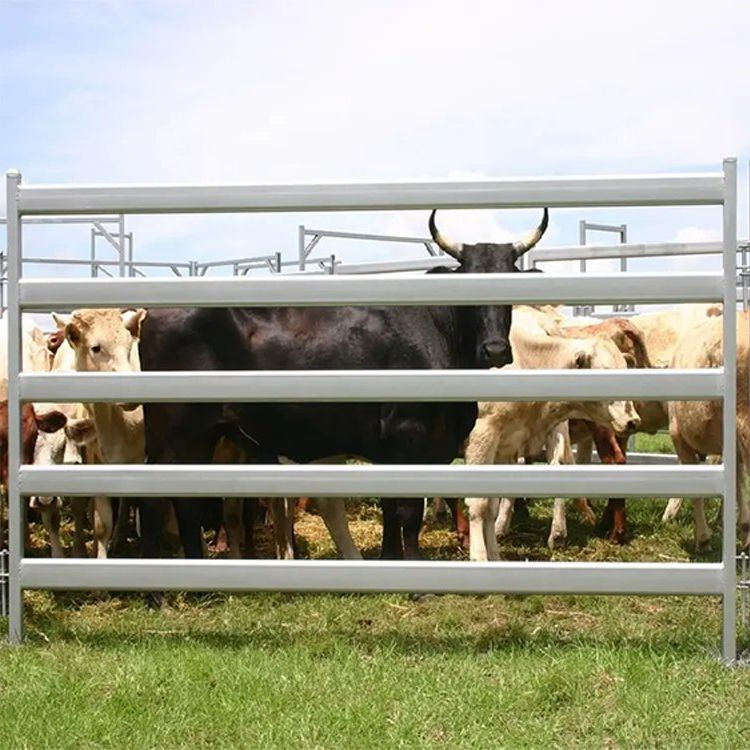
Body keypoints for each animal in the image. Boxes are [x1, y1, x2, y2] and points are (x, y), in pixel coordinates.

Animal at [138, 209, 549, 561]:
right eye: (468, 281)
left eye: (511, 282)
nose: (495, 349)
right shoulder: (409, 438)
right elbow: (408, 512)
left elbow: (392, 512)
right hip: (174, 433)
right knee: (156, 501)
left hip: (201, 436)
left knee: (186, 503)